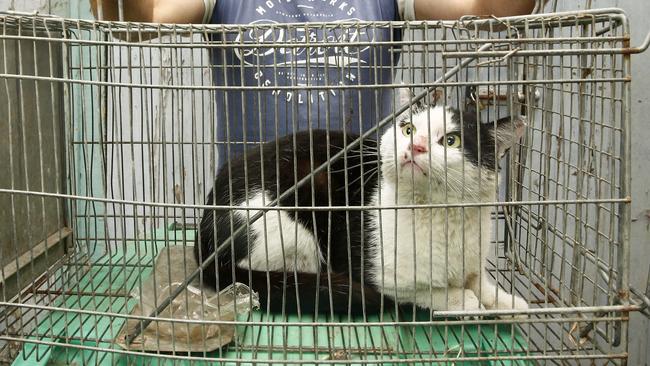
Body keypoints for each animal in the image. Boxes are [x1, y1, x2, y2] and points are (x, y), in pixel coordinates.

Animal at [192, 99, 528, 314]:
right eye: (408, 129)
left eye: (451, 140)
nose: (415, 146)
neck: (446, 219)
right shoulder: (381, 273)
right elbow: (426, 290)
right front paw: (463, 299)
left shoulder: (472, 260)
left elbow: (480, 280)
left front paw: (507, 301)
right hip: (293, 228)